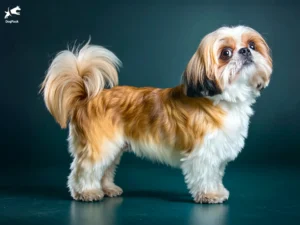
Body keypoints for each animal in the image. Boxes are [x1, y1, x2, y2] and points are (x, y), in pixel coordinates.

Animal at [41, 25, 274, 203]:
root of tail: (85, 98)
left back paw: (108, 189)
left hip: (113, 148)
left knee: (105, 169)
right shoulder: (203, 153)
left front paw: (218, 190)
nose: (245, 51)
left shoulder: (217, 153)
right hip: (99, 146)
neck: (222, 99)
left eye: (252, 45)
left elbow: (216, 174)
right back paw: (87, 192)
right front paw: (209, 195)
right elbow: (206, 175)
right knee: (84, 170)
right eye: (226, 53)